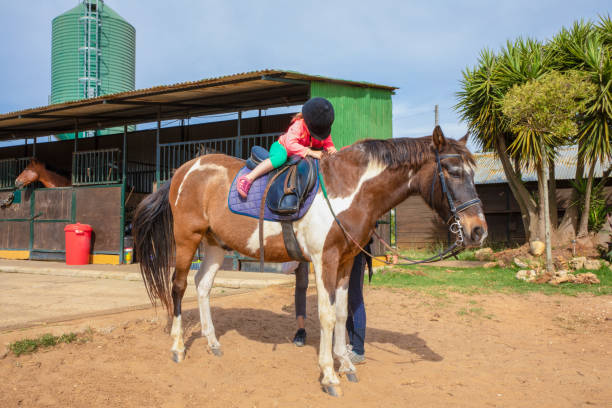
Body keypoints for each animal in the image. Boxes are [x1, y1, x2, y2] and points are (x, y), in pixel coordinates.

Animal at [133, 125, 488, 396]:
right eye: (453, 171)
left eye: (472, 173)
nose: (478, 230)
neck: (349, 190)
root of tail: (184, 170)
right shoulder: (324, 261)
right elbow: (327, 316)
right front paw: (329, 376)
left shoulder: (346, 263)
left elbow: (343, 313)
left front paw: (346, 364)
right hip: (186, 239)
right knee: (179, 286)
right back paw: (178, 347)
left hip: (214, 243)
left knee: (203, 285)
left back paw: (212, 343)